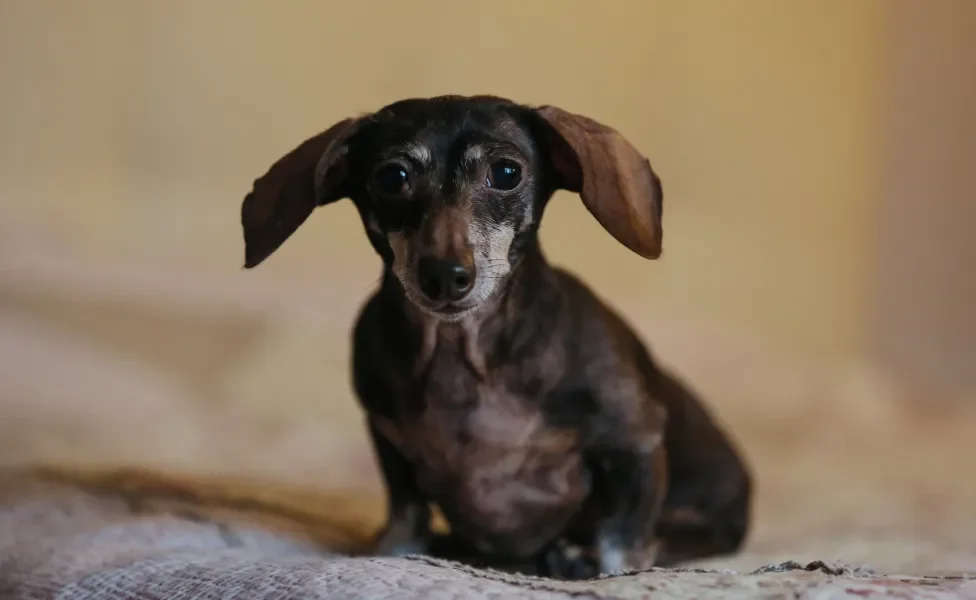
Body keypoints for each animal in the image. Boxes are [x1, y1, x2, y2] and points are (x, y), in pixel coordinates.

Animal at [240, 95, 752, 580]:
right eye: (392, 177)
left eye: (506, 173)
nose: (446, 276)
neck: (462, 355)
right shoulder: (389, 443)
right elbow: (405, 520)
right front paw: (397, 549)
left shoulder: (633, 442)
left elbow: (621, 545)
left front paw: (603, 564)